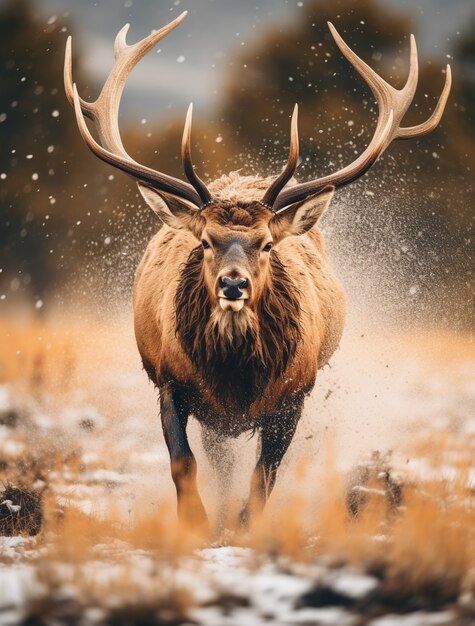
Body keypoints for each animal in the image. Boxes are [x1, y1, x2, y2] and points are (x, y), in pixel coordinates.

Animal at [65, 12, 452, 524]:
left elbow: (264, 477)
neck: (235, 379)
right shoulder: (169, 380)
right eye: (205, 242)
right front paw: (197, 524)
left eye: (267, 244)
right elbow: (183, 463)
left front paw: (242, 526)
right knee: (215, 458)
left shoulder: (294, 395)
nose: (233, 284)